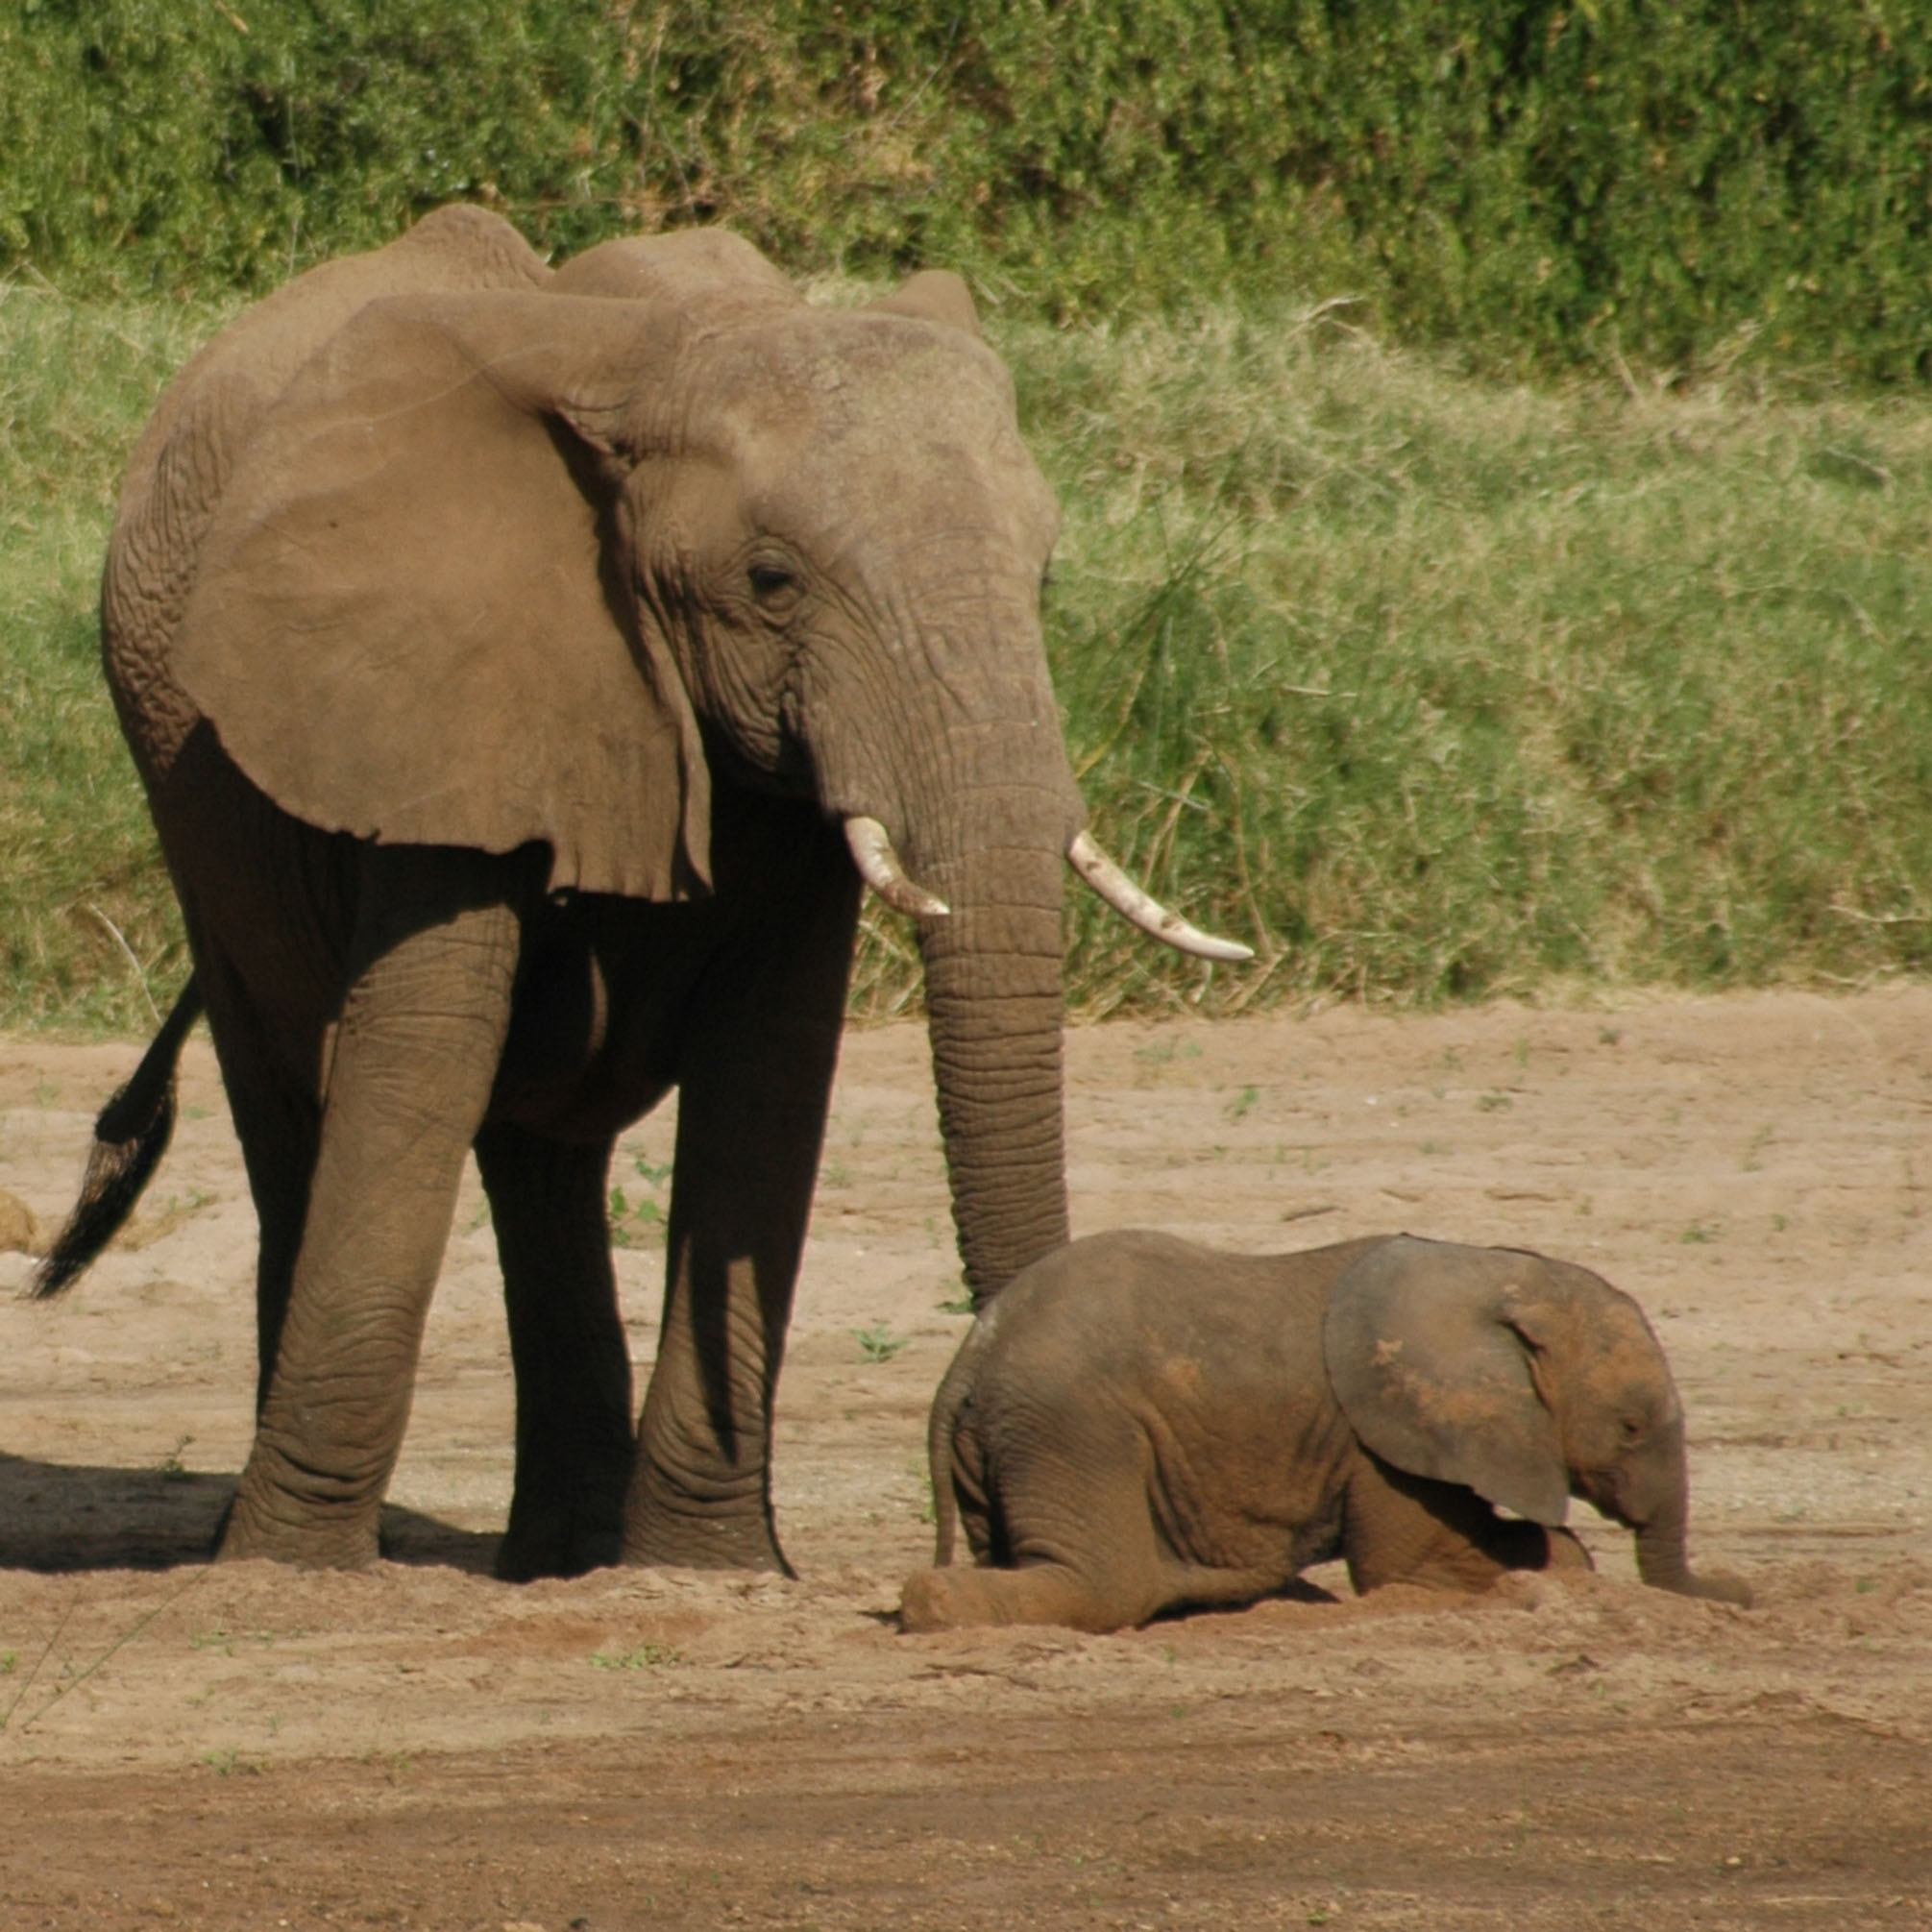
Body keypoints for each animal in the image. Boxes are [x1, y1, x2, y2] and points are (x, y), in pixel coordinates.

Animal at [49, 200, 1252, 1584]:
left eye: (1042, 579)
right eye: (771, 581)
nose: (990, 1532)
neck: (659, 358)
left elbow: (766, 1080)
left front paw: (711, 1569)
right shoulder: (437, 687)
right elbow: (417, 1062)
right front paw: (295, 1572)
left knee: (538, 1154)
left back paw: (563, 1554)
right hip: (195, 799)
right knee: (294, 1098)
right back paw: (267, 1546)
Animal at [904, 1236, 1753, 1630]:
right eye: (1630, 1425)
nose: (1740, 1592)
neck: (1492, 1276)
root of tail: (971, 1354)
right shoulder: (1385, 1435)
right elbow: (1411, 1569)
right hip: (1075, 1425)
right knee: (1103, 1580)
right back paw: (929, 1602)